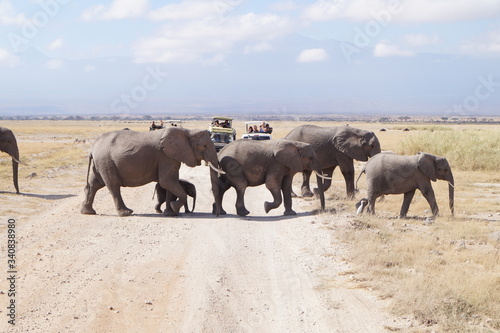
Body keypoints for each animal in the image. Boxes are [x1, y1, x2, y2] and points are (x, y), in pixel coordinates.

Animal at [81, 126, 222, 215]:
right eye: (204, 146)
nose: (216, 213)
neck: (187, 131)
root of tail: (93, 147)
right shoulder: (165, 156)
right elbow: (167, 181)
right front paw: (174, 208)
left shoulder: (170, 156)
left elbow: (169, 183)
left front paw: (170, 213)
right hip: (106, 161)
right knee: (113, 186)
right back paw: (126, 213)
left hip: (100, 162)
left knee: (94, 185)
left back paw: (88, 212)